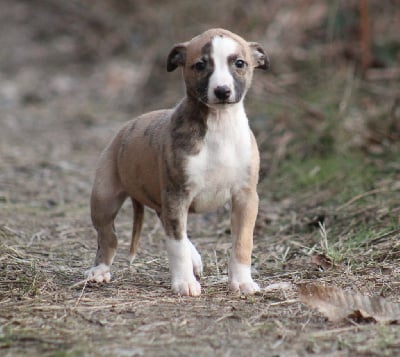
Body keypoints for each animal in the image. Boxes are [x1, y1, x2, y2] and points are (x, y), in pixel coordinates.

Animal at [86, 27, 270, 296]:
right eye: (200, 65)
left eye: (239, 63)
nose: (222, 91)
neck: (219, 124)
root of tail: (124, 128)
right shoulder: (177, 194)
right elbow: (176, 245)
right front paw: (184, 283)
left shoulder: (245, 196)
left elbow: (242, 242)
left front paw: (242, 281)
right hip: (104, 197)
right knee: (109, 236)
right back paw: (99, 270)